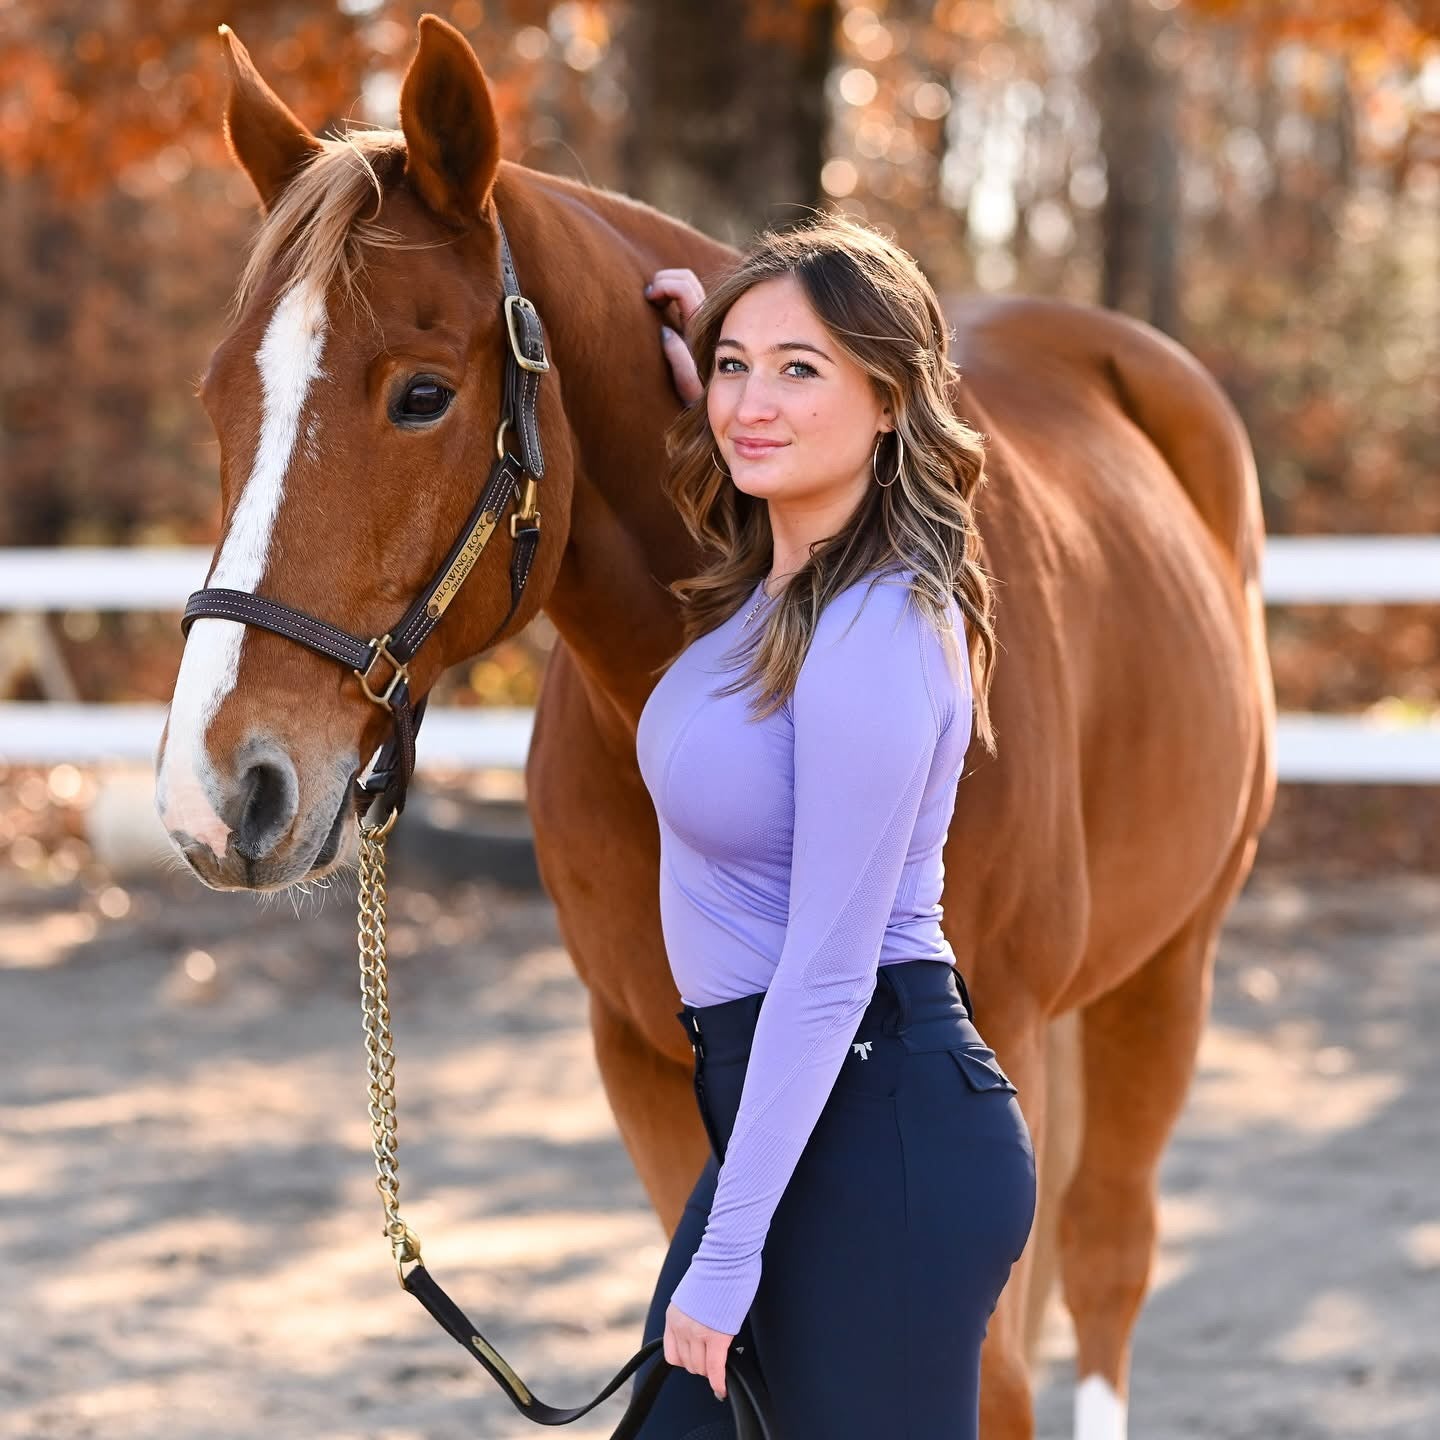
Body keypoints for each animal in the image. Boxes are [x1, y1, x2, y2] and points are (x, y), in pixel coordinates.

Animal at [154, 14, 1272, 1440]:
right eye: (215, 398)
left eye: (419, 396)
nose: (216, 793)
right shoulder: (641, 1063)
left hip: (1166, 969)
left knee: (1108, 1262)